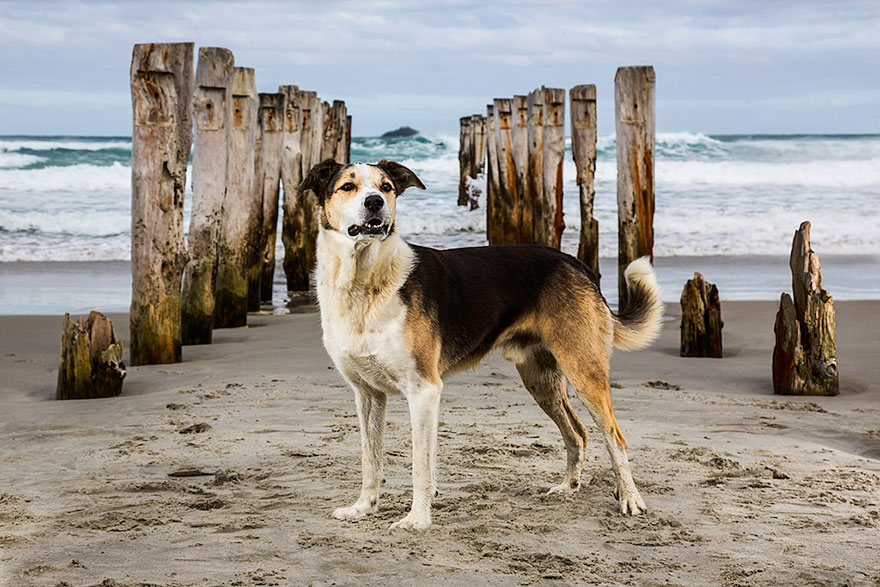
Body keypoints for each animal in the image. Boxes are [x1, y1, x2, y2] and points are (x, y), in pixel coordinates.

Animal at [300, 158, 664, 532]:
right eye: (348, 186)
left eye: (385, 187)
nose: (375, 202)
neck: (366, 282)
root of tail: (579, 265)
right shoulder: (368, 394)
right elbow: (370, 459)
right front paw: (363, 508)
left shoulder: (424, 390)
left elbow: (420, 465)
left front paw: (417, 519)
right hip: (541, 381)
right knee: (577, 434)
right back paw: (568, 487)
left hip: (583, 369)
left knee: (614, 438)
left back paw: (630, 499)